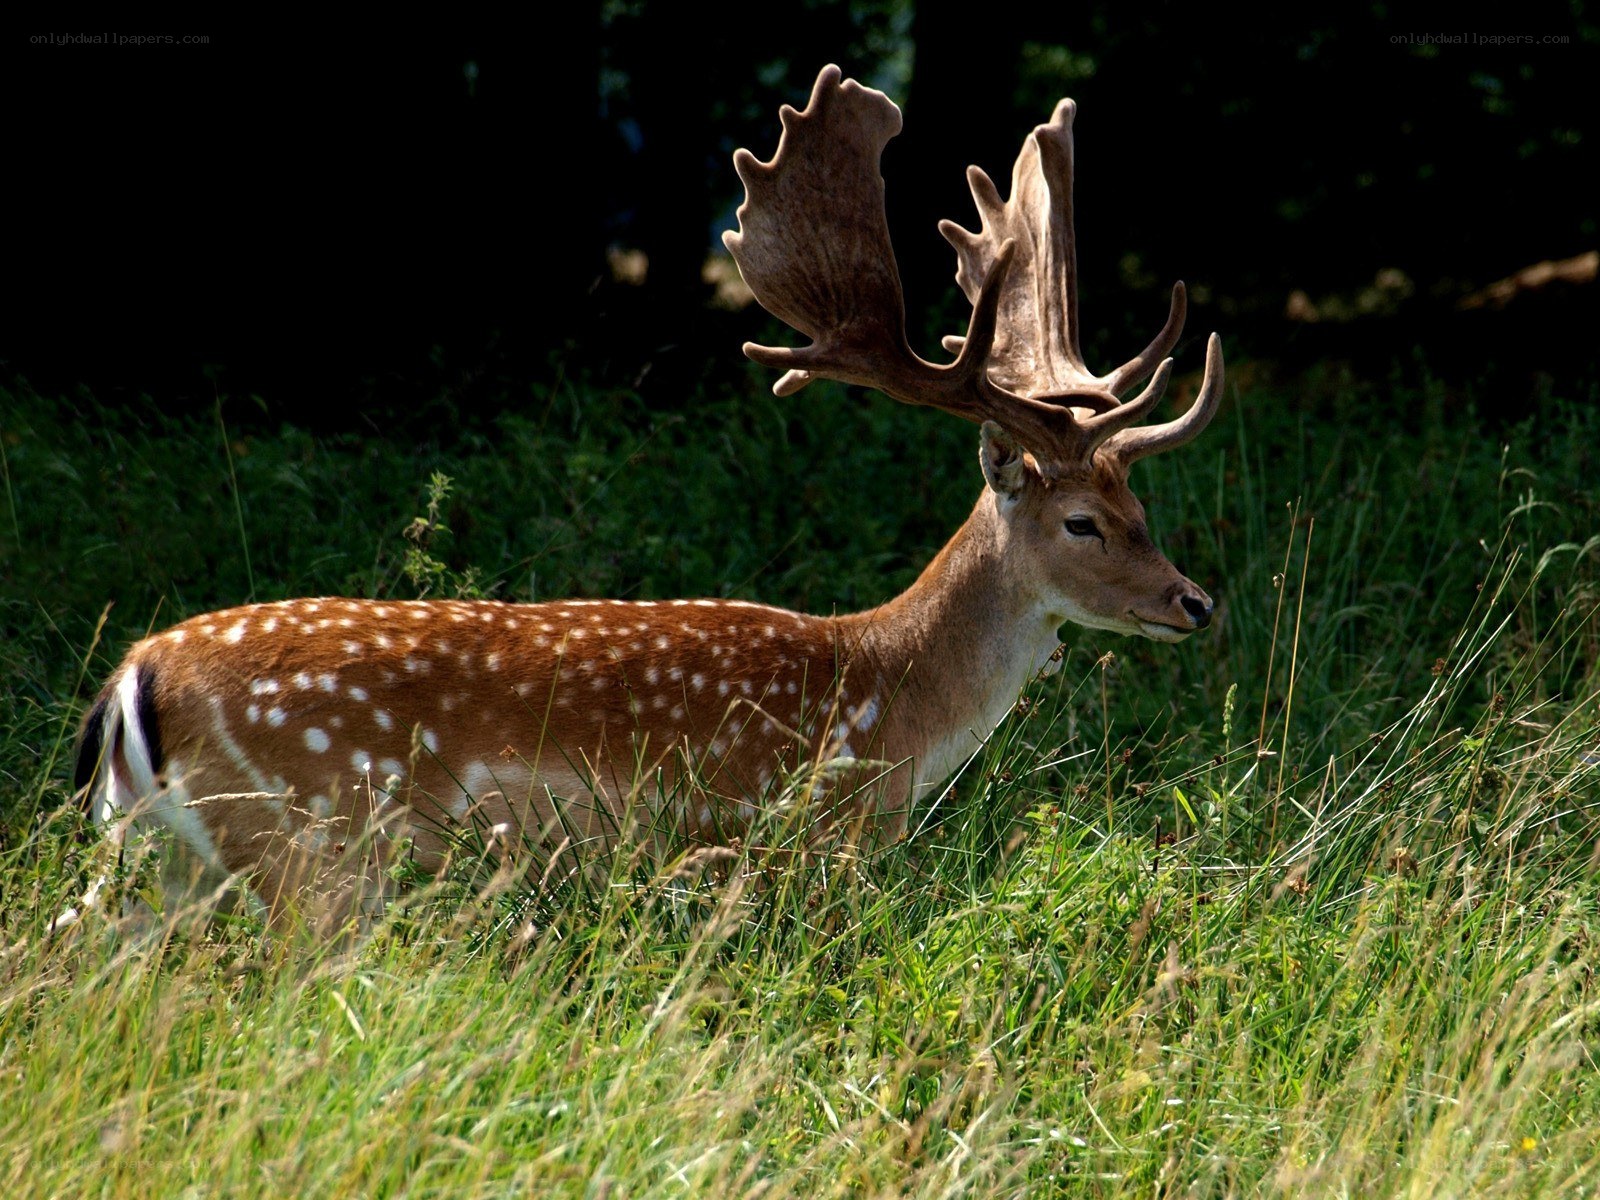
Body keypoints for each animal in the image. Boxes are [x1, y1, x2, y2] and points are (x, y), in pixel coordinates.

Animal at [68, 65, 1223, 934]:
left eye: (1141, 504)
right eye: (1082, 522)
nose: (1195, 603)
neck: (887, 704)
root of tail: (136, 676)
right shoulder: (792, 840)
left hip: (153, 855)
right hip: (314, 839)